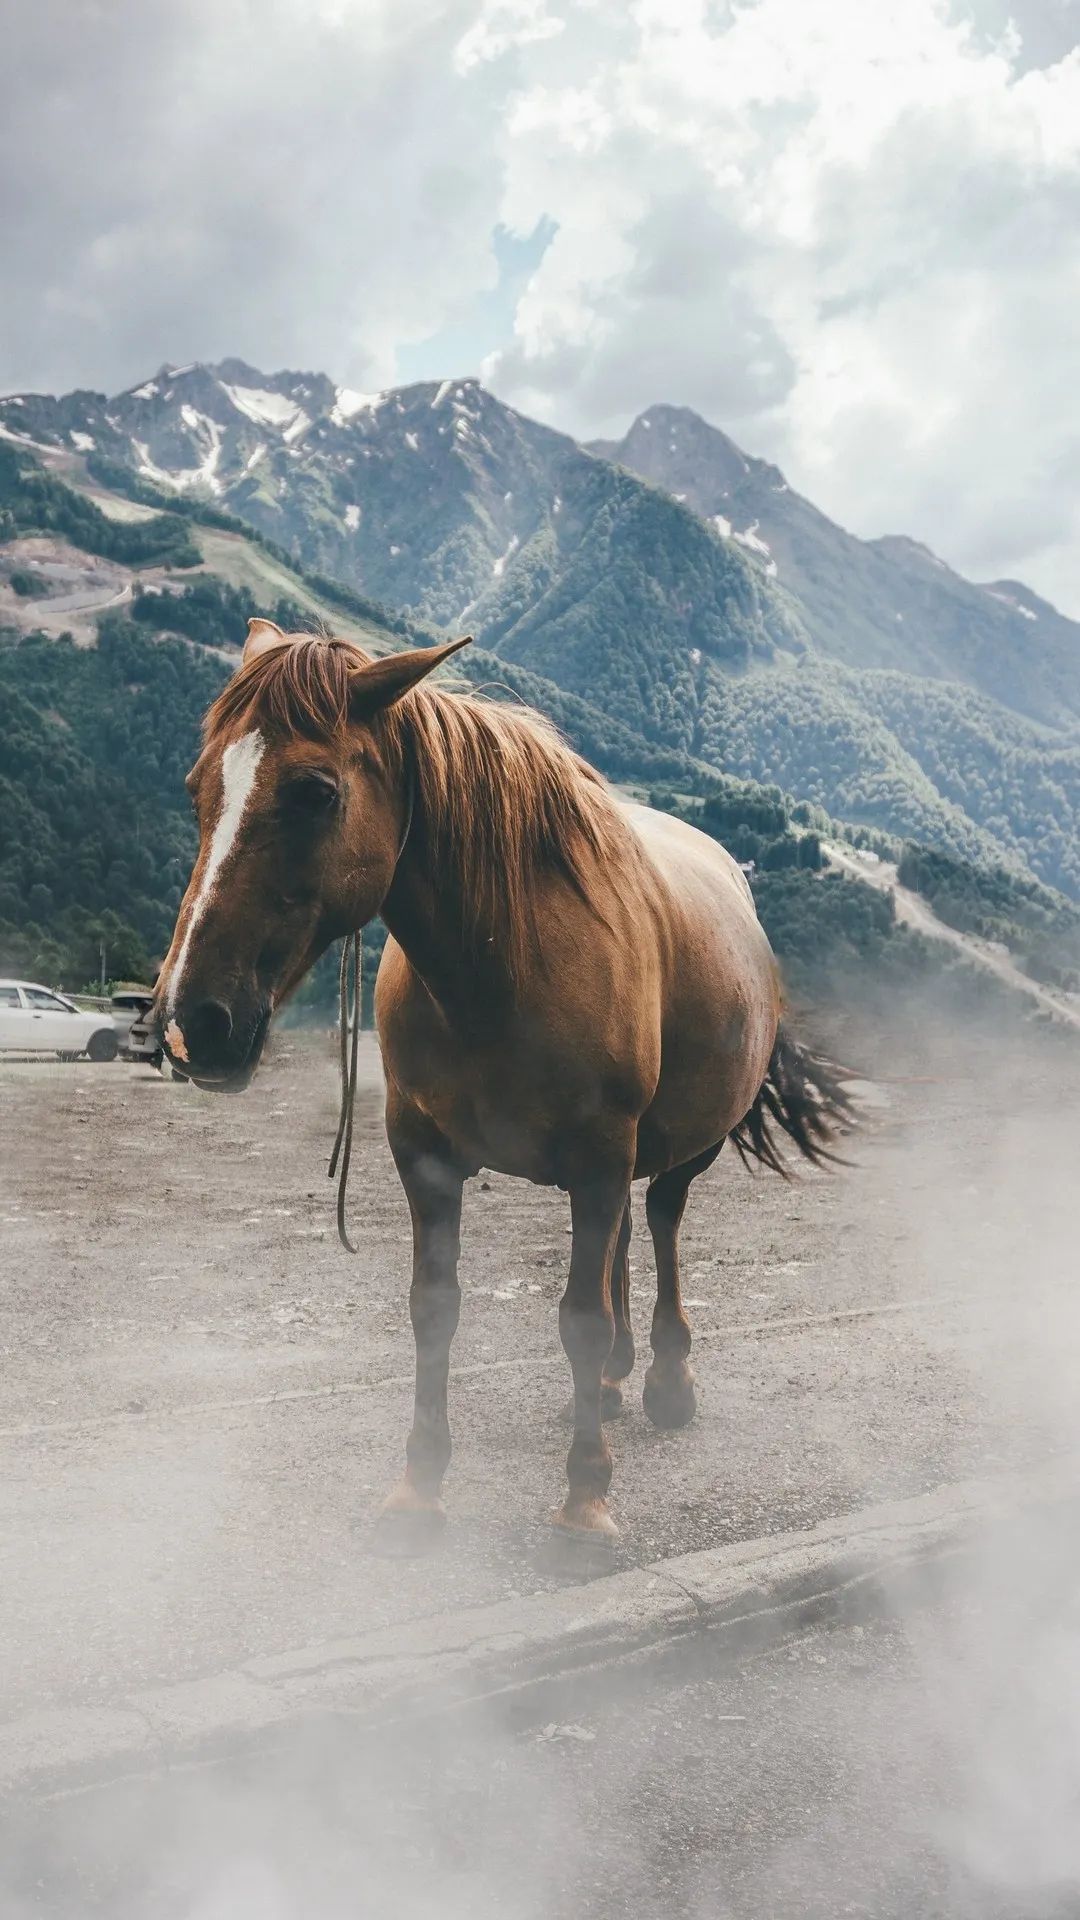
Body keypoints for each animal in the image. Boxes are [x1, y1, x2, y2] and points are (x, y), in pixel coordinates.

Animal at [154, 618, 852, 1548]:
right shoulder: (425, 1157)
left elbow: (581, 1319)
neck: (508, 962)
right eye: (199, 787)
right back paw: (615, 1384)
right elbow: (434, 1309)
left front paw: (584, 1503)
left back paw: (667, 1380)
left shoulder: (599, 1156)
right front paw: (419, 1489)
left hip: (681, 1147)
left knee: (662, 1222)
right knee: (624, 1242)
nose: (191, 1019)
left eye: (314, 791)